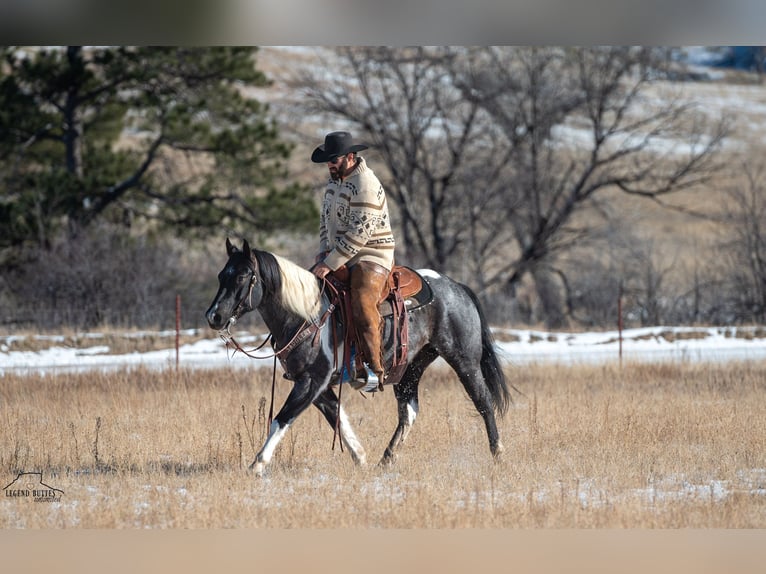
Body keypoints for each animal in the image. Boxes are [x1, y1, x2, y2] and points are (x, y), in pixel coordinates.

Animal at [207, 238, 512, 476]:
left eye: (242, 276)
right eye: (222, 275)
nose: (214, 316)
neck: (306, 314)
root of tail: (457, 287)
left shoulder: (311, 381)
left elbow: (282, 418)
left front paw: (257, 464)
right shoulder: (318, 386)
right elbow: (339, 418)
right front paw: (361, 458)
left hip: (464, 361)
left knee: (484, 403)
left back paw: (498, 454)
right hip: (410, 368)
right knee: (409, 412)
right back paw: (385, 460)